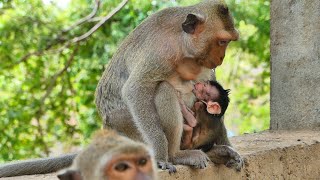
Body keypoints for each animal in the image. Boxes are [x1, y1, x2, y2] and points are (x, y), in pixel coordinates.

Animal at [94, 0, 239, 172]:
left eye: (228, 41)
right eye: (222, 41)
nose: (221, 57)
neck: (181, 41)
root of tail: (107, 127)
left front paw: (229, 148)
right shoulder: (161, 51)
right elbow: (135, 89)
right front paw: (161, 157)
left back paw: (216, 152)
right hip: (130, 129)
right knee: (164, 89)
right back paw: (175, 155)